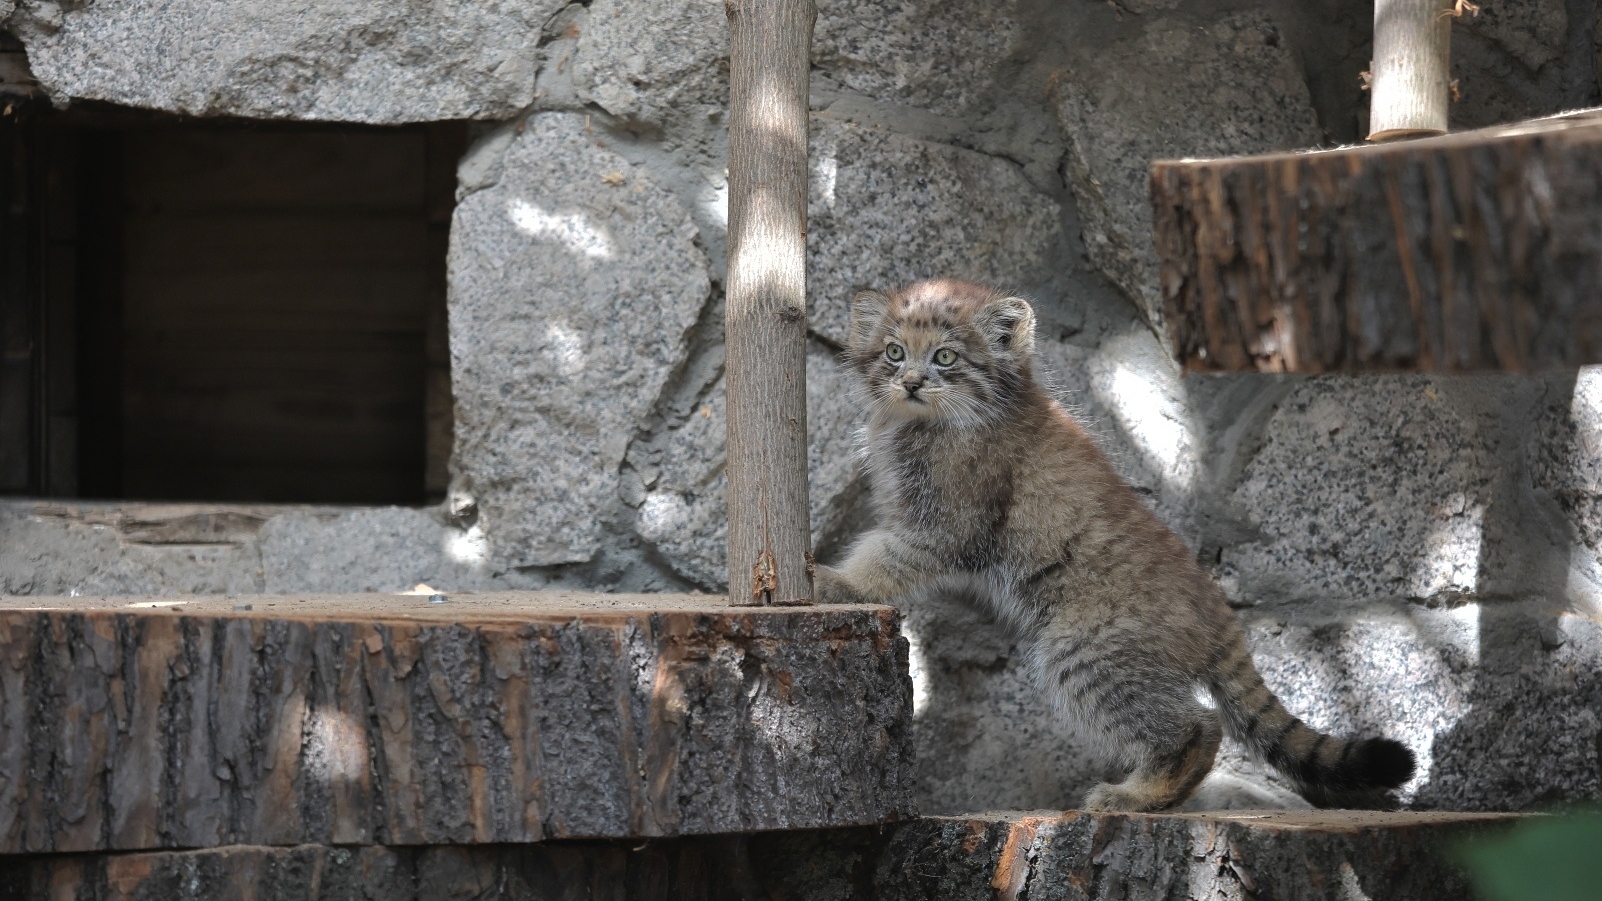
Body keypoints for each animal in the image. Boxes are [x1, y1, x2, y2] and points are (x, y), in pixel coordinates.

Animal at [813, 278, 1416, 808]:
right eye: (894, 352)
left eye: (945, 357)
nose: (912, 382)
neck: (927, 422)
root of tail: (1220, 610)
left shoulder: (944, 526)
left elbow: (886, 559)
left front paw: (833, 580)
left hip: (1087, 652)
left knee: (1199, 726)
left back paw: (1138, 796)